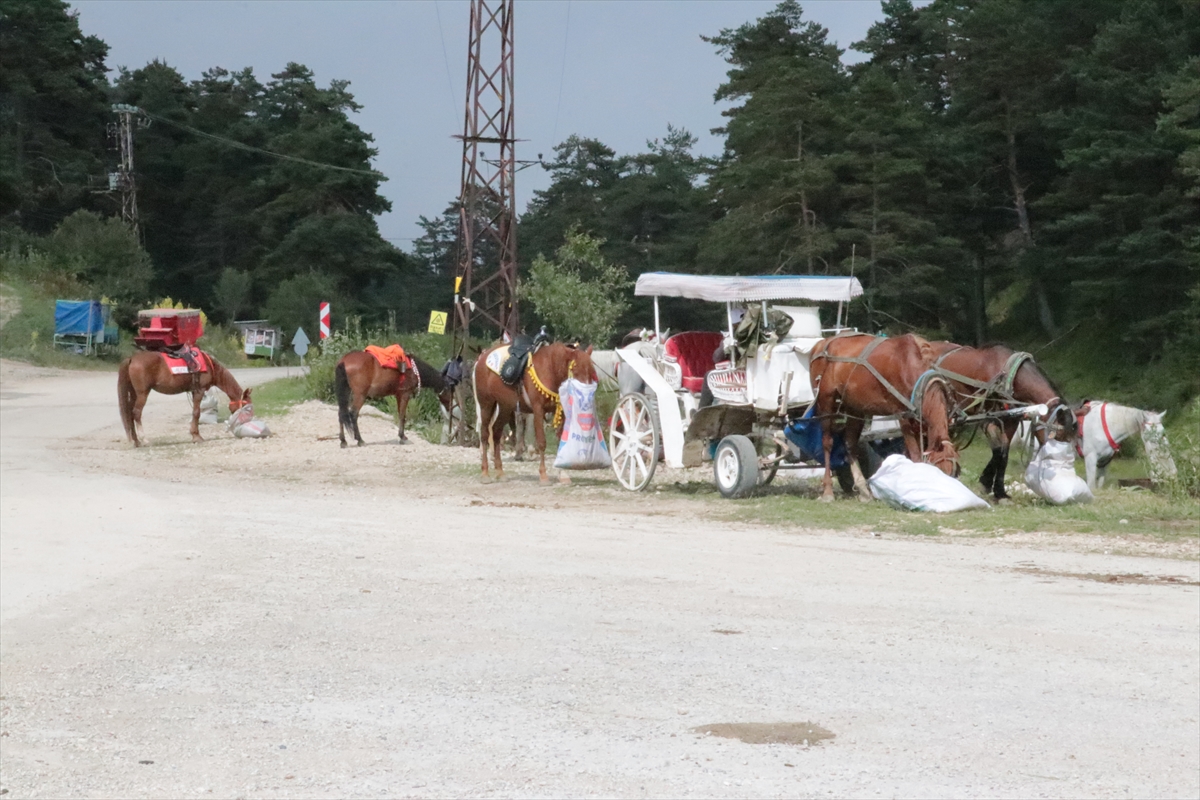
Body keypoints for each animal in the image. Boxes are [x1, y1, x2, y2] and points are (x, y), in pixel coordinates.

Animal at [115, 347, 249, 448]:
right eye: (248, 406)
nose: (246, 421)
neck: (208, 364)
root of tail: (132, 359)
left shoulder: (194, 391)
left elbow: (195, 413)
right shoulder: (199, 391)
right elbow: (196, 413)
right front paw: (197, 437)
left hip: (133, 393)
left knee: (129, 414)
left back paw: (136, 441)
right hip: (142, 393)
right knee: (136, 413)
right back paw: (144, 439)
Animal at [333, 347, 463, 448]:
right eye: (450, 392)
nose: (451, 407)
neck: (414, 370)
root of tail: (344, 361)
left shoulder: (398, 395)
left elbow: (400, 413)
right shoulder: (405, 394)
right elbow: (402, 415)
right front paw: (402, 437)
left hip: (346, 393)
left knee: (341, 413)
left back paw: (343, 441)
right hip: (360, 395)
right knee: (353, 414)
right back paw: (360, 440)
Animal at [472, 340, 595, 484]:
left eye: (592, 371)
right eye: (575, 370)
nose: (587, 395)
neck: (551, 369)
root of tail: (483, 357)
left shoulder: (561, 411)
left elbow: (560, 441)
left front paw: (563, 475)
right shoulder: (538, 410)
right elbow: (541, 442)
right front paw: (543, 475)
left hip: (505, 407)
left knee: (496, 432)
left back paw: (500, 472)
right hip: (486, 405)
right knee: (485, 434)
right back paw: (485, 473)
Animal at [811, 331, 960, 501]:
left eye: (954, 474)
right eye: (938, 471)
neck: (910, 366)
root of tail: (821, 344)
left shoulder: (918, 420)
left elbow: (910, 453)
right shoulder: (903, 417)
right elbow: (915, 455)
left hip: (854, 407)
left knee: (849, 443)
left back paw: (863, 490)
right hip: (825, 402)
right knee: (827, 443)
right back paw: (828, 491)